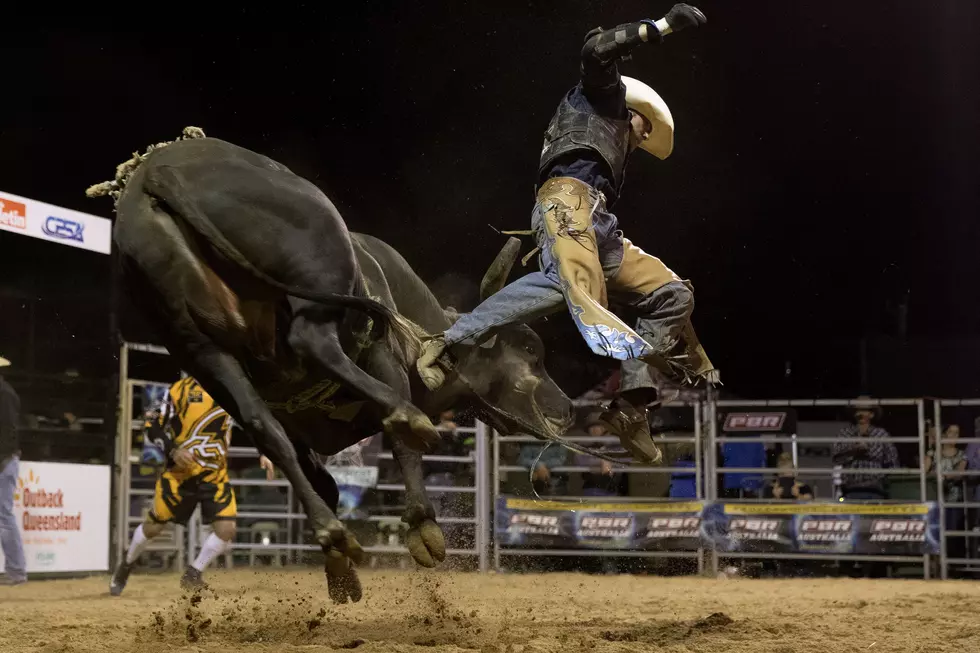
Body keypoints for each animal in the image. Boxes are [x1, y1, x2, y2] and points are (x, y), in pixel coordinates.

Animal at [86, 127, 576, 600]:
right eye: (531, 352)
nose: (568, 408)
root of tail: (158, 170)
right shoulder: (383, 355)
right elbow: (398, 439)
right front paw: (422, 524)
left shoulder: (299, 426)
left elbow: (316, 472)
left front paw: (340, 566)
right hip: (321, 275)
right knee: (316, 343)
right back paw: (408, 419)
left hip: (199, 346)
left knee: (261, 422)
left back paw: (333, 534)